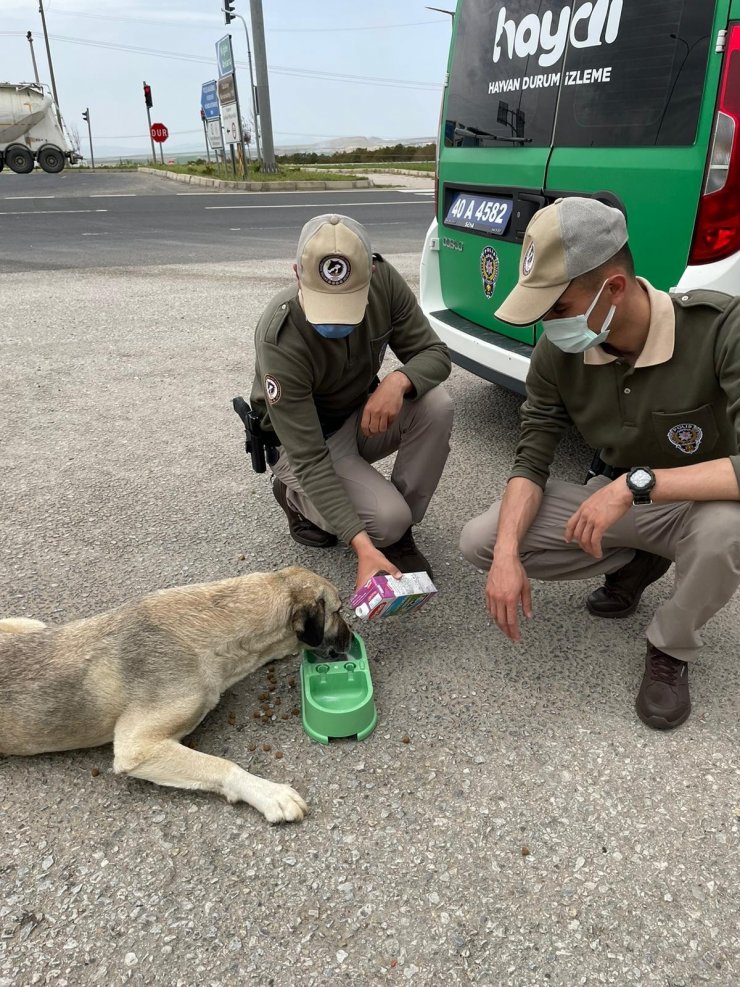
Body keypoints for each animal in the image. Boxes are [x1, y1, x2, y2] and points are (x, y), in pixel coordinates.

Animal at [0, 568, 352, 824]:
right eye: (339, 611)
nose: (351, 640)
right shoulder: (136, 747)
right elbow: (222, 765)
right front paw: (269, 793)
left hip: (29, 623)